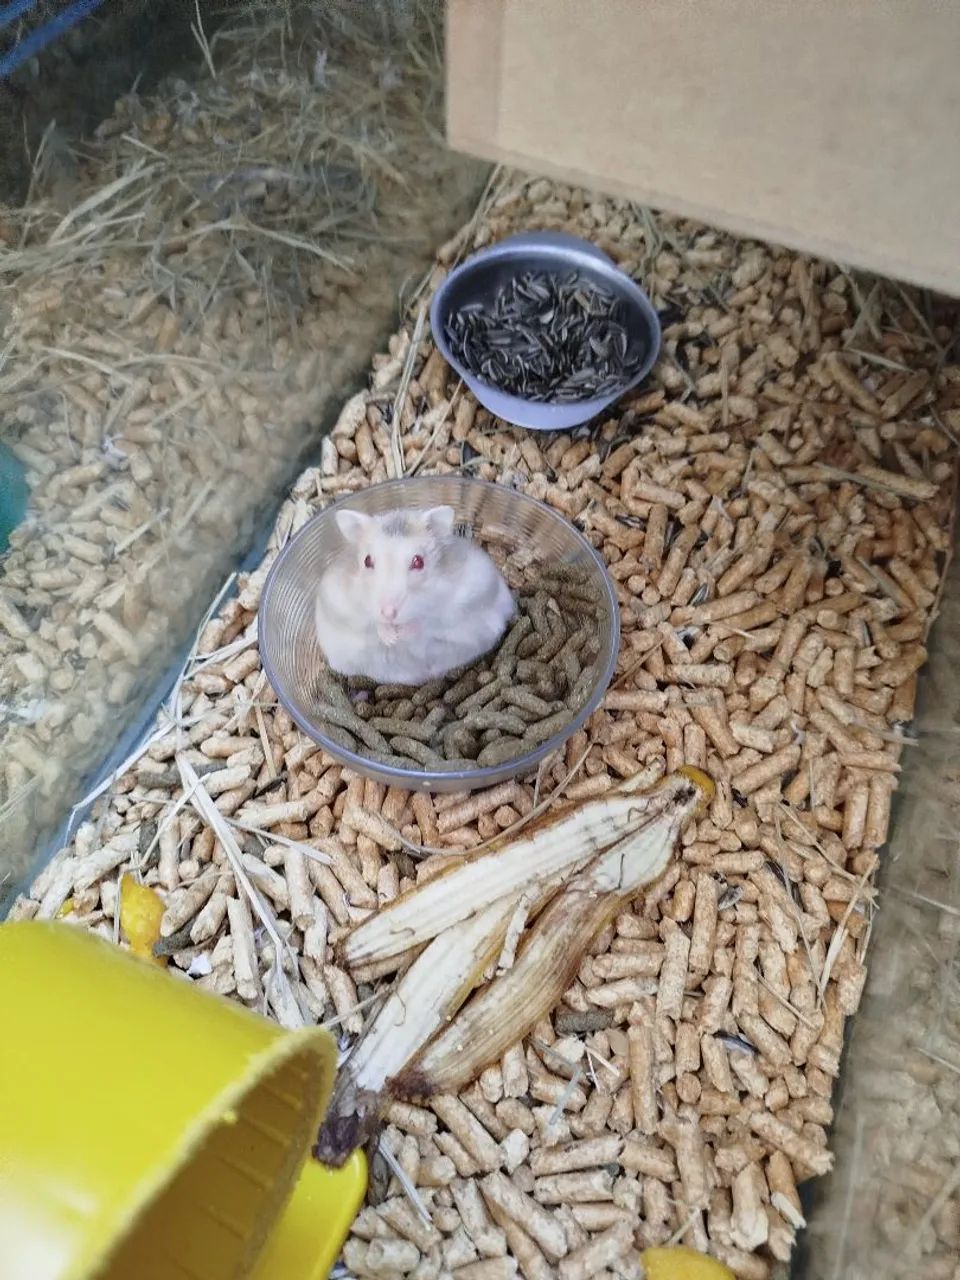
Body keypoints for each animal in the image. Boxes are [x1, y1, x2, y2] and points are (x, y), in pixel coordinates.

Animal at [315, 504, 516, 686]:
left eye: (418, 561)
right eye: (367, 561)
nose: (389, 613)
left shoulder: (467, 596)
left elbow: (428, 619)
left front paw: (402, 634)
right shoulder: (340, 604)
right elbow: (371, 624)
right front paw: (391, 639)